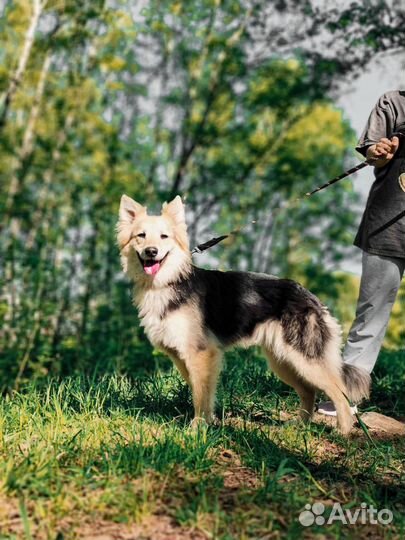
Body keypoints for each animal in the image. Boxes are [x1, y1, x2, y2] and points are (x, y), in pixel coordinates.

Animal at [117, 194, 370, 434]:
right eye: (141, 235)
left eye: (164, 237)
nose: (151, 252)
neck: (168, 282)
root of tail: (311, 297)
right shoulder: (183, 357)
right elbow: (202, 391)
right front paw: (210, 421)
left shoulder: (201, 354)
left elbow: (200, 394)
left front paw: (197, 428)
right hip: (283, 361)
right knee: (309, 391)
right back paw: (301, 425)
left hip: (306, 360)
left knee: (340, 392)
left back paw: (343, 430)